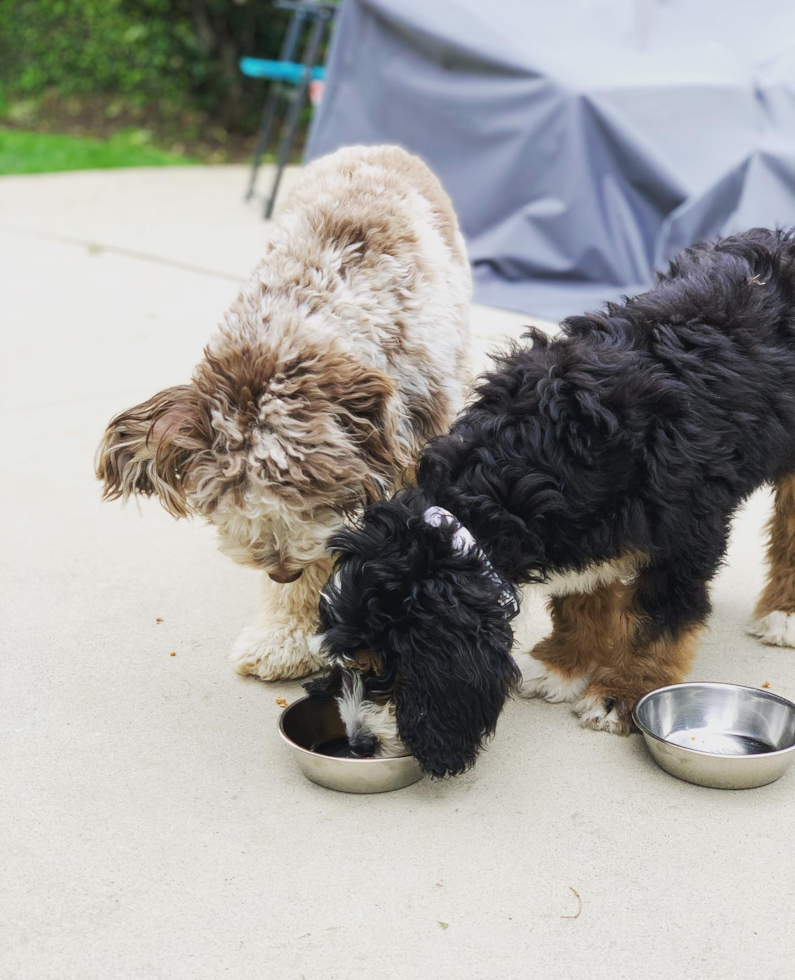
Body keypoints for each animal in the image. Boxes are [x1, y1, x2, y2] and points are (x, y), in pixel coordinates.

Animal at [308, 228, 795, 772]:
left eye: (383, 671)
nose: (359, 744)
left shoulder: (685, 535)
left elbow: (658, 620)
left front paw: (622, 693)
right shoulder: (582, 528)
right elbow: (580, 596)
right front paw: (562, 665)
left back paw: (783, 614)